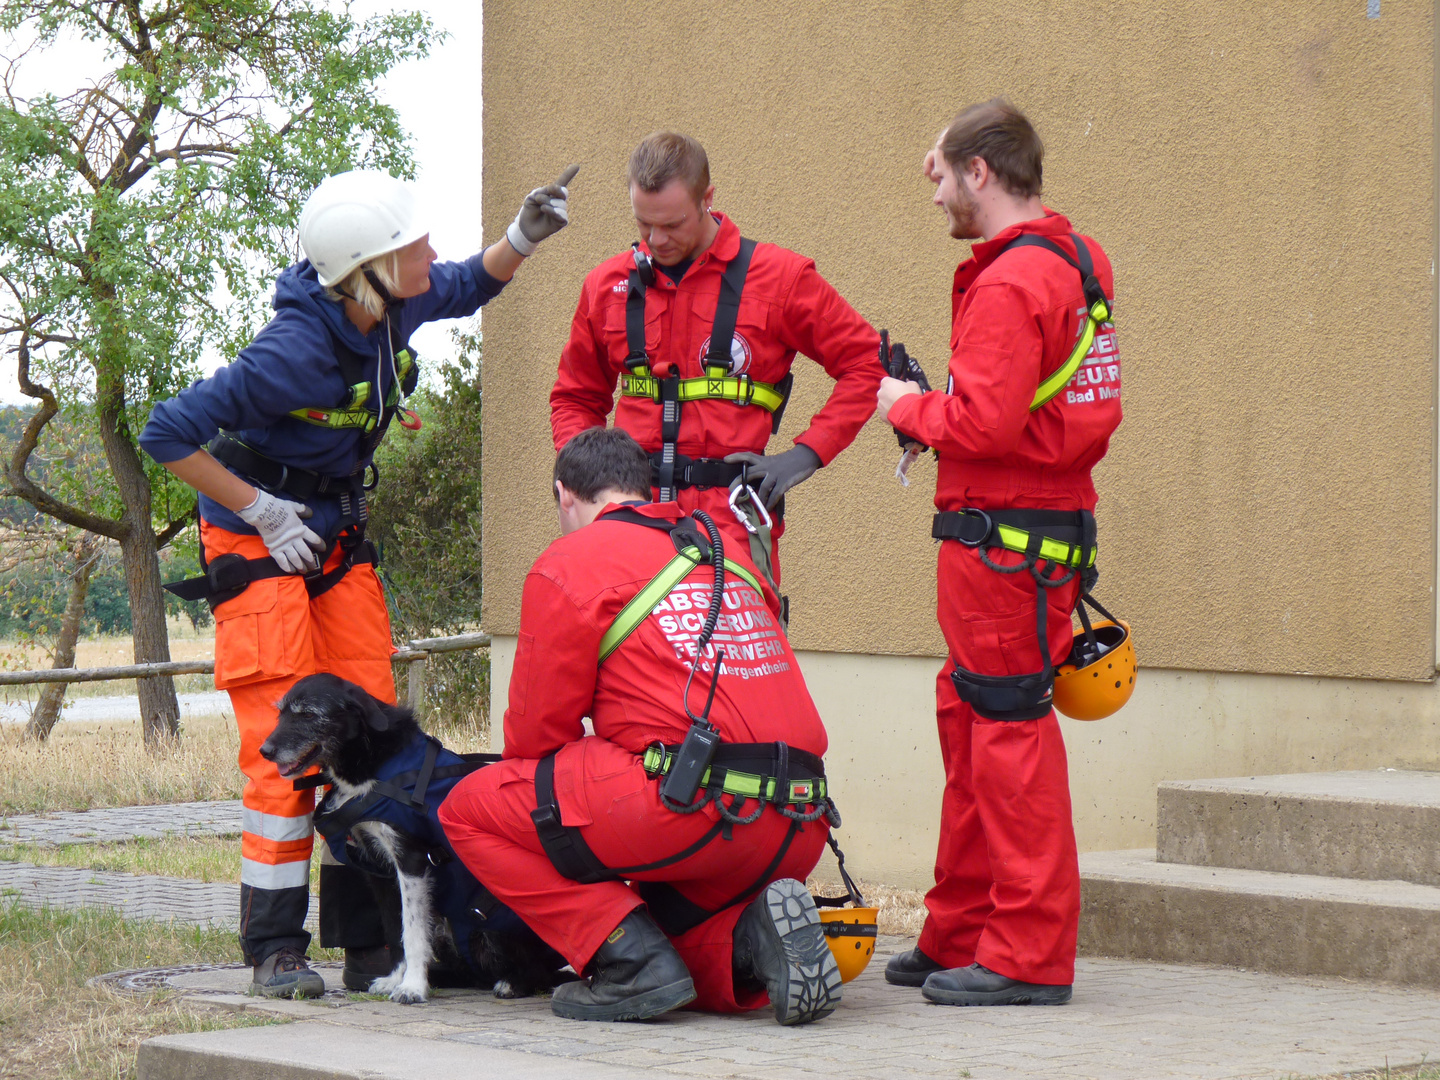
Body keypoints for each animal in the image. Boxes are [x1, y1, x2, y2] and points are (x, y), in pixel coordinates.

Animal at [262, 676, 564, 1008]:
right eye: (280, 713)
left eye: (308, 714)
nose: (265, 751)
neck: (372, 761)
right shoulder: (379, 869)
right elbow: (396, 932)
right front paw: (396, 978)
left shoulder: (412, 861)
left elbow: (413, 931)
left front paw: (413, 987)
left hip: (492, 928)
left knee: (541, 973)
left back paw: (513, 983)